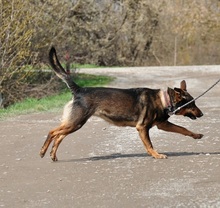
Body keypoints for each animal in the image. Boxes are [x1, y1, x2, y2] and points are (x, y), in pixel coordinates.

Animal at [39, 46, 203, 161]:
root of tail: (79, 89)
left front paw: (196, 135)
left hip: (73, 124)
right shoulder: (142, 128)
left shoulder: (163, 125)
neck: (164, 99)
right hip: (76, 123)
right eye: (192, 104)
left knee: (59, 136)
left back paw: (52, 155)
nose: (202, 114)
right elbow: (150, 145)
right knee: (52, 132)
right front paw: (156, 155)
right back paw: (42, 151)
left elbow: (182, 129)